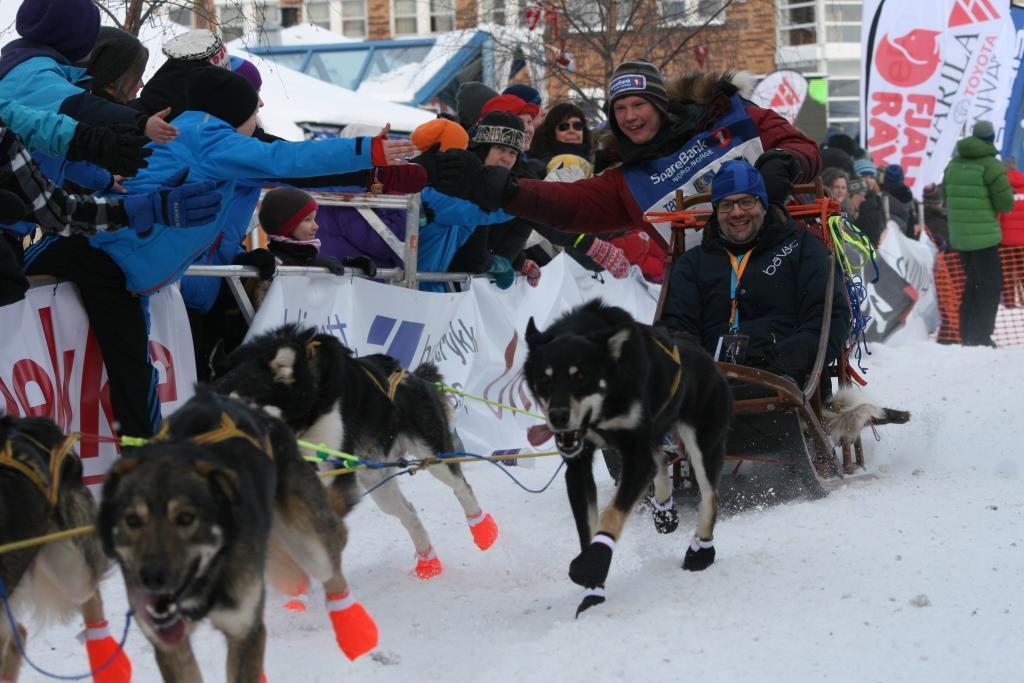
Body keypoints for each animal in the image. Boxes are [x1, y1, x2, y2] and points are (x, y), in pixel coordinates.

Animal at [97, 390, 377, 683]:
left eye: (186, 518)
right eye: (132, 520)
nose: (151, 576)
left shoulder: (245, 628)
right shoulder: (171, 644)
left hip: (310, 543)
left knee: (333, 559)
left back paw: (356, 631)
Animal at [211, 324, 498, 579]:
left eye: (242, 408)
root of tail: (413, 375)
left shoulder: (335, 470)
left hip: (435, 456)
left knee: (461, 487)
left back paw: (482, 530)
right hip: (380, 486)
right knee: (409, 513)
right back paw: (428, 564)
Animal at [523, 300, 733, 615]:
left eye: (580, 376)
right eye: (544, 379)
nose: (558, 416)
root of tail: (708, 357)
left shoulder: (635, 454)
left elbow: (611, 514)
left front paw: (592, 564)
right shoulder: (579, 467)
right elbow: (587, 528)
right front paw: (593, 585)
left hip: (702, 442)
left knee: (709, 495)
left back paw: (701, 551)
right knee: (660, 463)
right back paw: (664, 511)